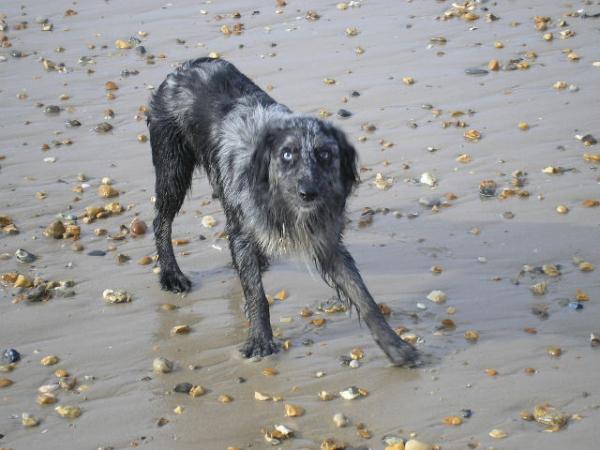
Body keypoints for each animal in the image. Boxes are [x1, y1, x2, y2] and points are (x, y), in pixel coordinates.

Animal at [146, 57, 418, 366]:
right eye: (287, 154)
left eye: (325, 154)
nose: (309, 193)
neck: (281, 202)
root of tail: (184, 67)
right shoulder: (243, 226)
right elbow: (255, 294)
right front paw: (260, 339)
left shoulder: (327, 242)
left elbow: (363, 296)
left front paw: (394, 344)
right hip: (173, 168)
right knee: (161, 220)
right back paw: (171, 273)